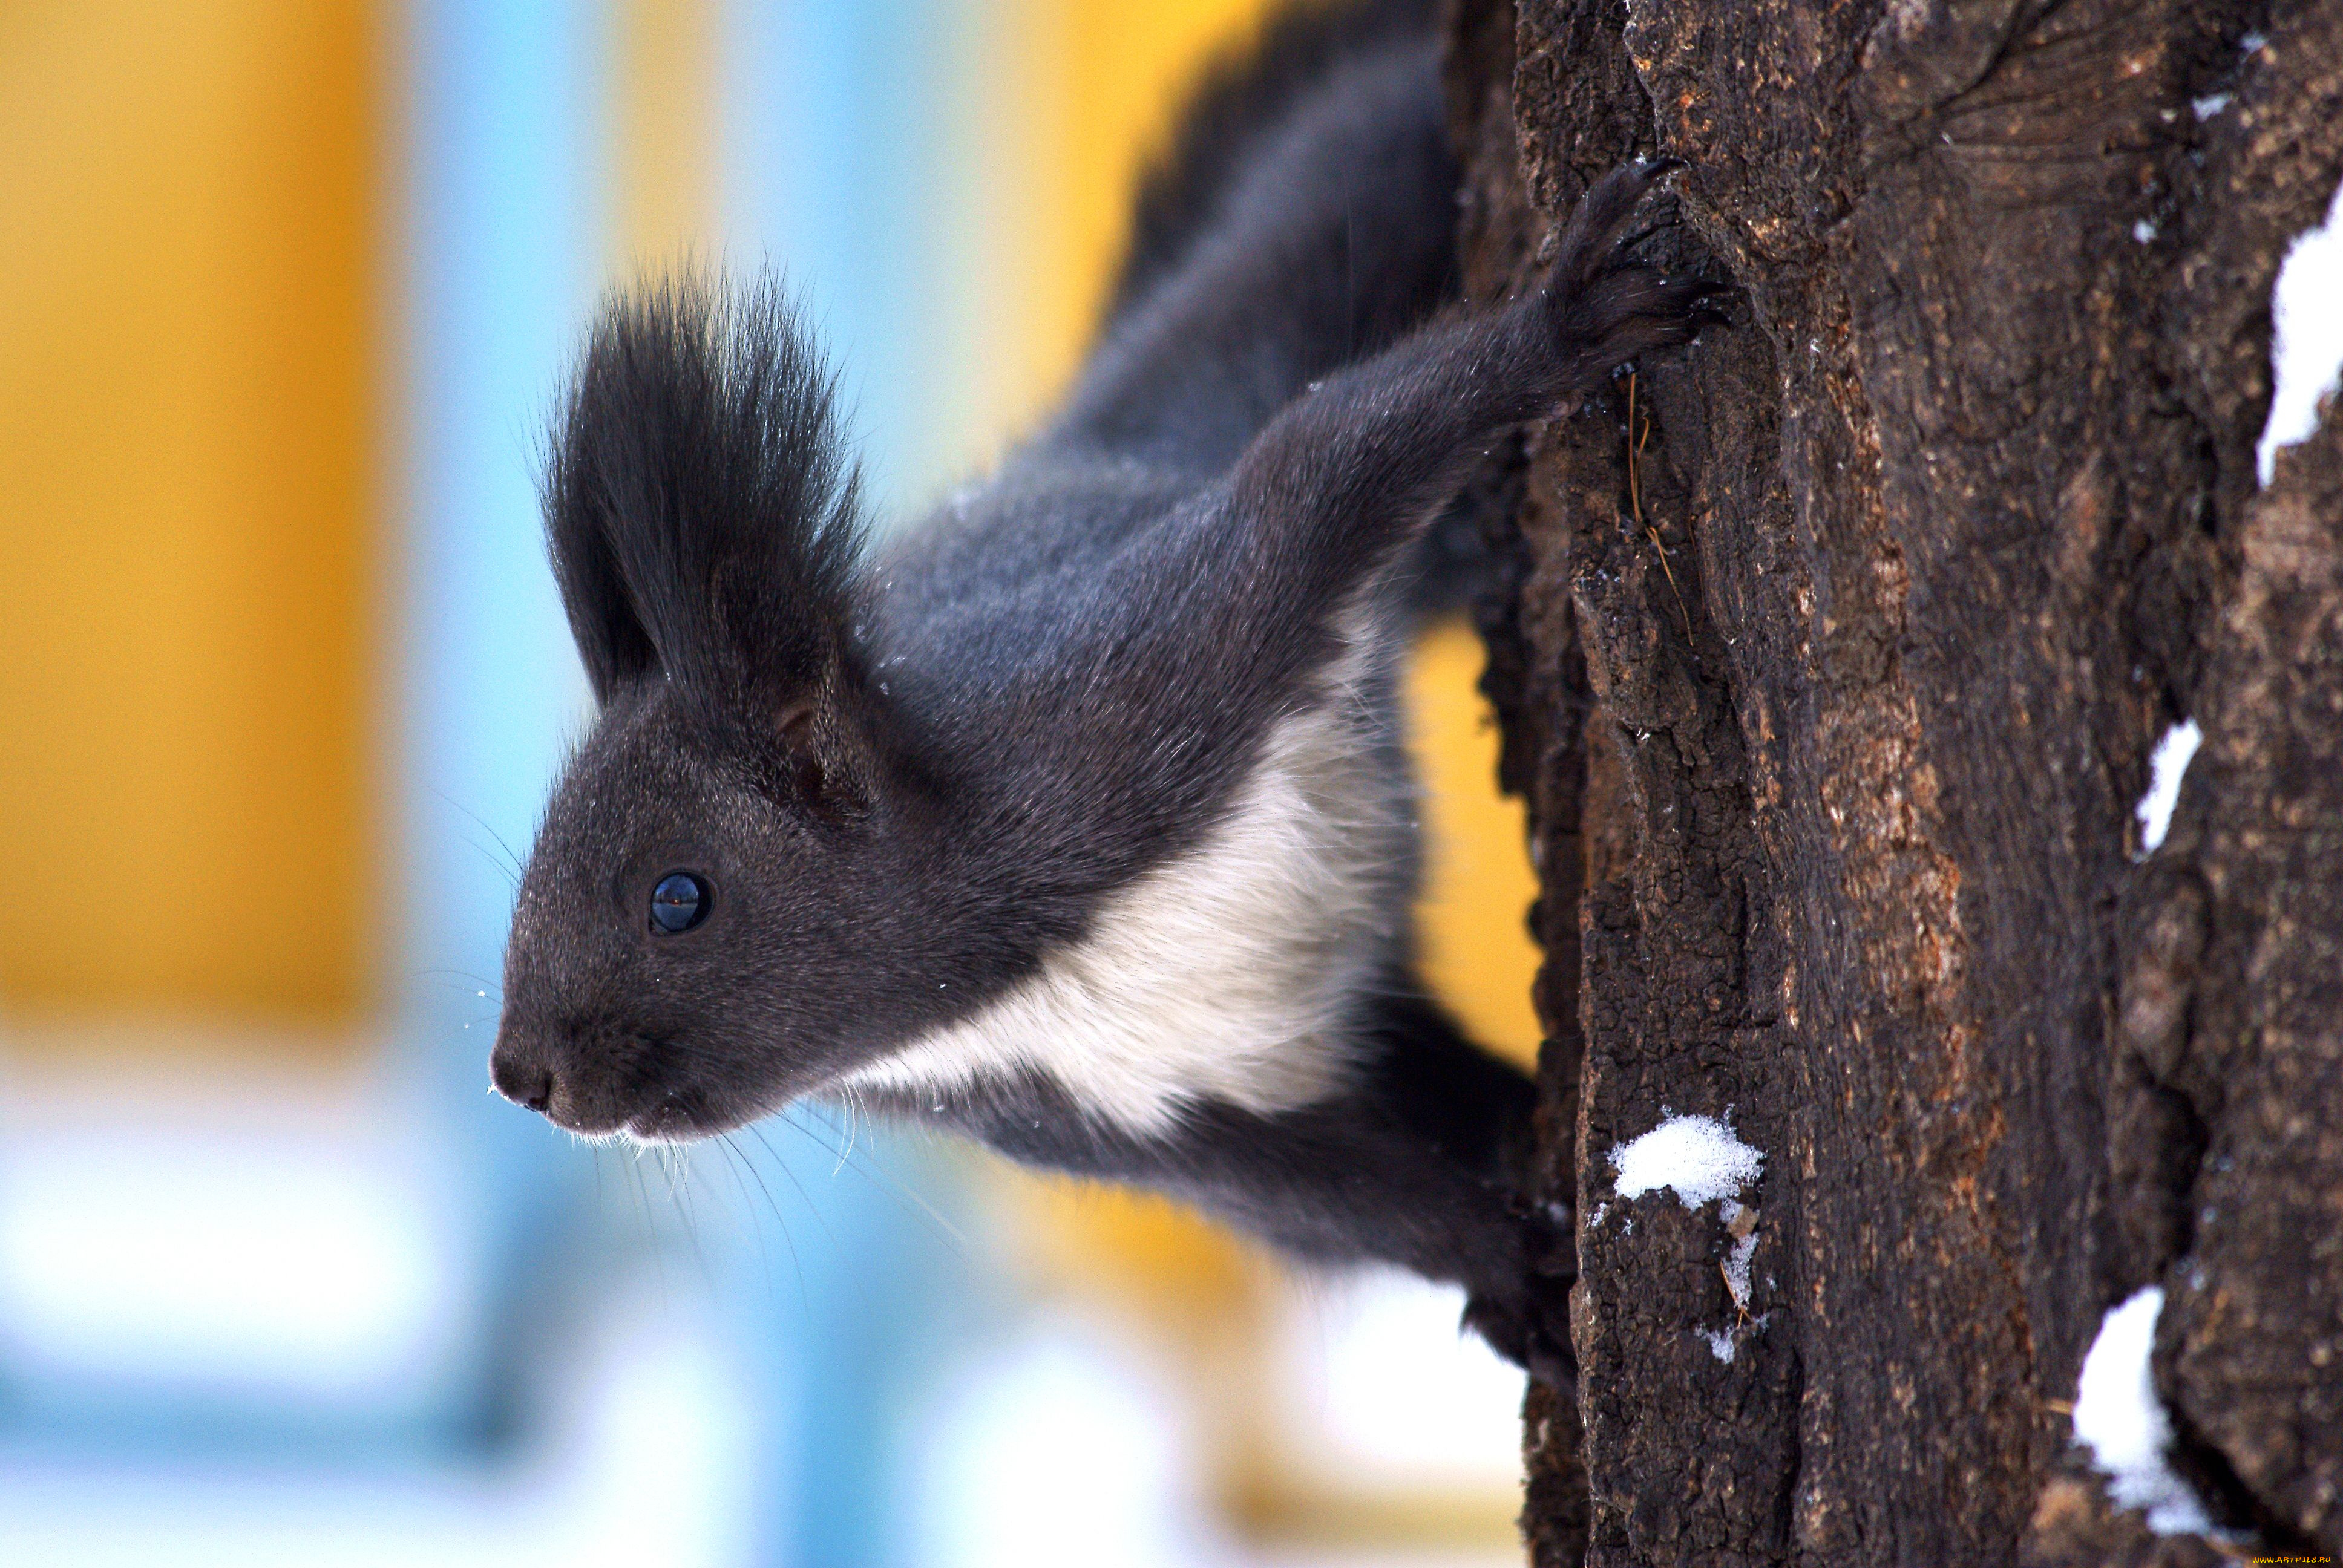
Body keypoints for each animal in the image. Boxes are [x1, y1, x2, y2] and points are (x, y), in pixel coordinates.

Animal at [490, 0, 1724, 1378]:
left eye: (679, 898)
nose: (523, 1076)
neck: (1012, 969)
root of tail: (1100, 431)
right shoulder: (1105, 1121)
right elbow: (1332, 1202)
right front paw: (1508, 1266)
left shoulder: (1147, 676)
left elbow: (1322, 463)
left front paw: (1565, 323)